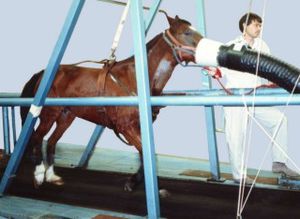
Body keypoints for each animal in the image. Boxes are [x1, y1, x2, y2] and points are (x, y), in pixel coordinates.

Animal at [19, 15, 203, 192]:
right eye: (187, 32)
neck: (135, 79)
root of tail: (43, 74)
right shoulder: (126, 127)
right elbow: (146, 153)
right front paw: (134, 182)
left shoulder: (138, 126)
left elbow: (146, 155)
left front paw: (134, 181)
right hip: (49, 114)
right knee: (37, 138)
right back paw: (39, 175)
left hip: (66, 117)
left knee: (51, 142)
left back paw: (51, 176)